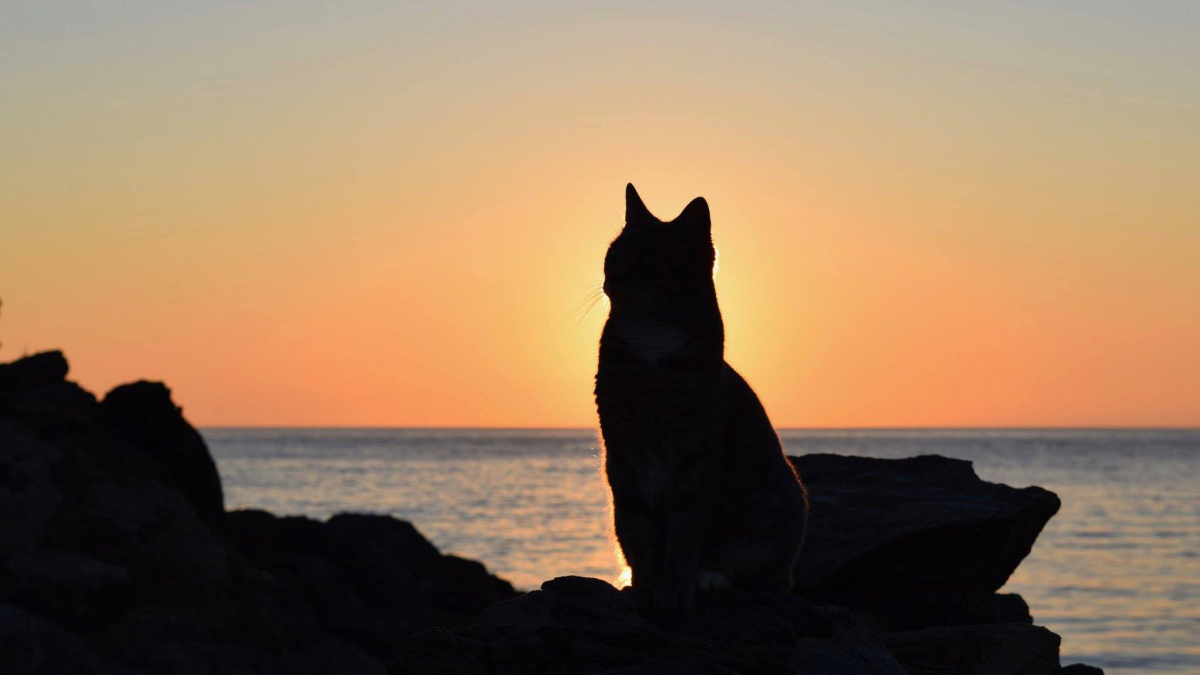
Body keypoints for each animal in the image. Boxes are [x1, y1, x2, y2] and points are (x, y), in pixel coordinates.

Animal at [595, 182, 811, 610]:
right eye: (615, 252)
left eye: (649, 258)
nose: (611, 275)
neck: (651, 345)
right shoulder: (622, 449)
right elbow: (639, 529)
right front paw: (644, 588)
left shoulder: (697, 451)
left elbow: (684, 531)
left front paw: (672, 590)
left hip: (775, 504)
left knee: (766, 575)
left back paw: (709, 577)